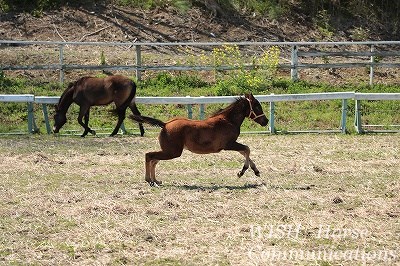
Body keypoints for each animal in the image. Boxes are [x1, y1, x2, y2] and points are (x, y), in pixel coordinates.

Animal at [132, 93, 268, 187]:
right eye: (257, 106)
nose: (265, 121)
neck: (228, 120)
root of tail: (165, 124)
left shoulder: (232, 144)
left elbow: (244, 151)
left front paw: (256, 171)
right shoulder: (228, 145)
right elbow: (247, 149)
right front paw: (242, 172)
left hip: (168, 151)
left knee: (154, 160)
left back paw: (155, 180)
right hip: (173, 152)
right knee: (149, 155)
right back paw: (149, 180)